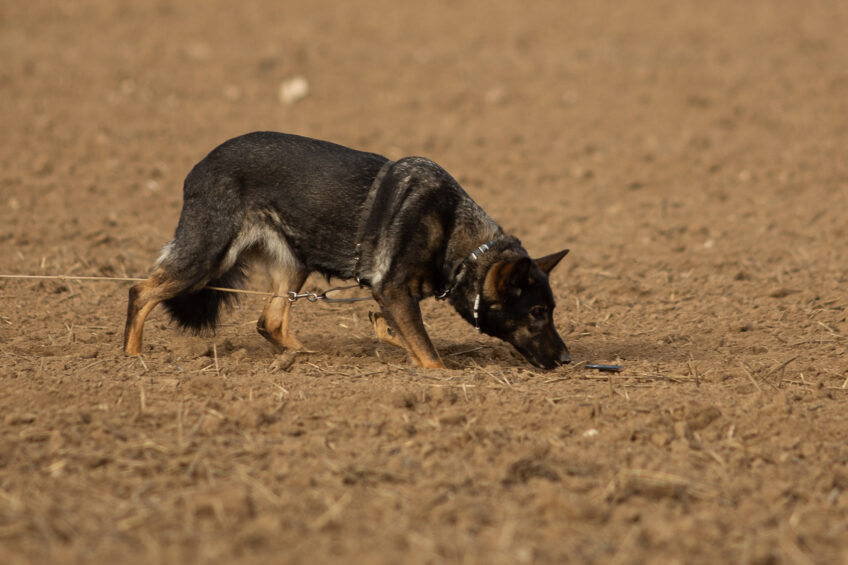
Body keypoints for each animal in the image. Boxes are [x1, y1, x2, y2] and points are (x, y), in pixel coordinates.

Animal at [122, 133, 572, 370]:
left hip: (294, 263)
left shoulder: (393, 297)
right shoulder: (394, 291)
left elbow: (401, 334)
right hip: (207, 256)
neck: (462, 248)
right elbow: (429, 354)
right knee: (140, 292)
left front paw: (385, 335)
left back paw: (305, 356)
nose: (568, 359)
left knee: (270, 321)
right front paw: (440, 377)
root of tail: (199, 166)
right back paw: (132, 360)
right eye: (537, 312)